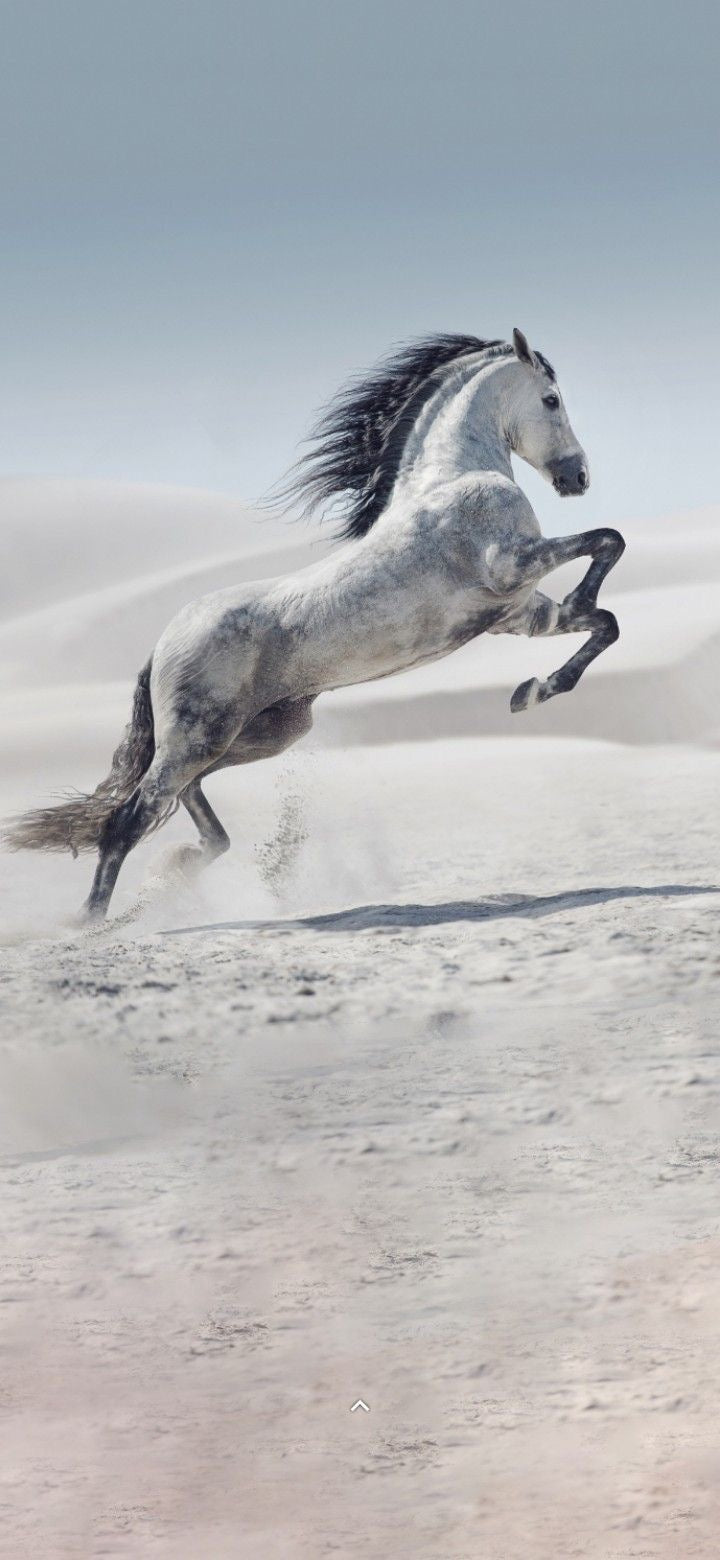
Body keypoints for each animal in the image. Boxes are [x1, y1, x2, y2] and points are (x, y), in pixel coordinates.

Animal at [4, 328, 625, 921]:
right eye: (551, 399)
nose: (579, 477)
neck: (452, 478)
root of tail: (161, 646)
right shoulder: (511, 564)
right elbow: (608, 541)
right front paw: (548, 661)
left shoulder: (518, 613)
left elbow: (604, 622)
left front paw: (532, 691)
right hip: (199, 737)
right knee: (131, 816)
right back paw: (92, 921)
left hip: (261, 733)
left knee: (185, 798)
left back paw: (179, 868)